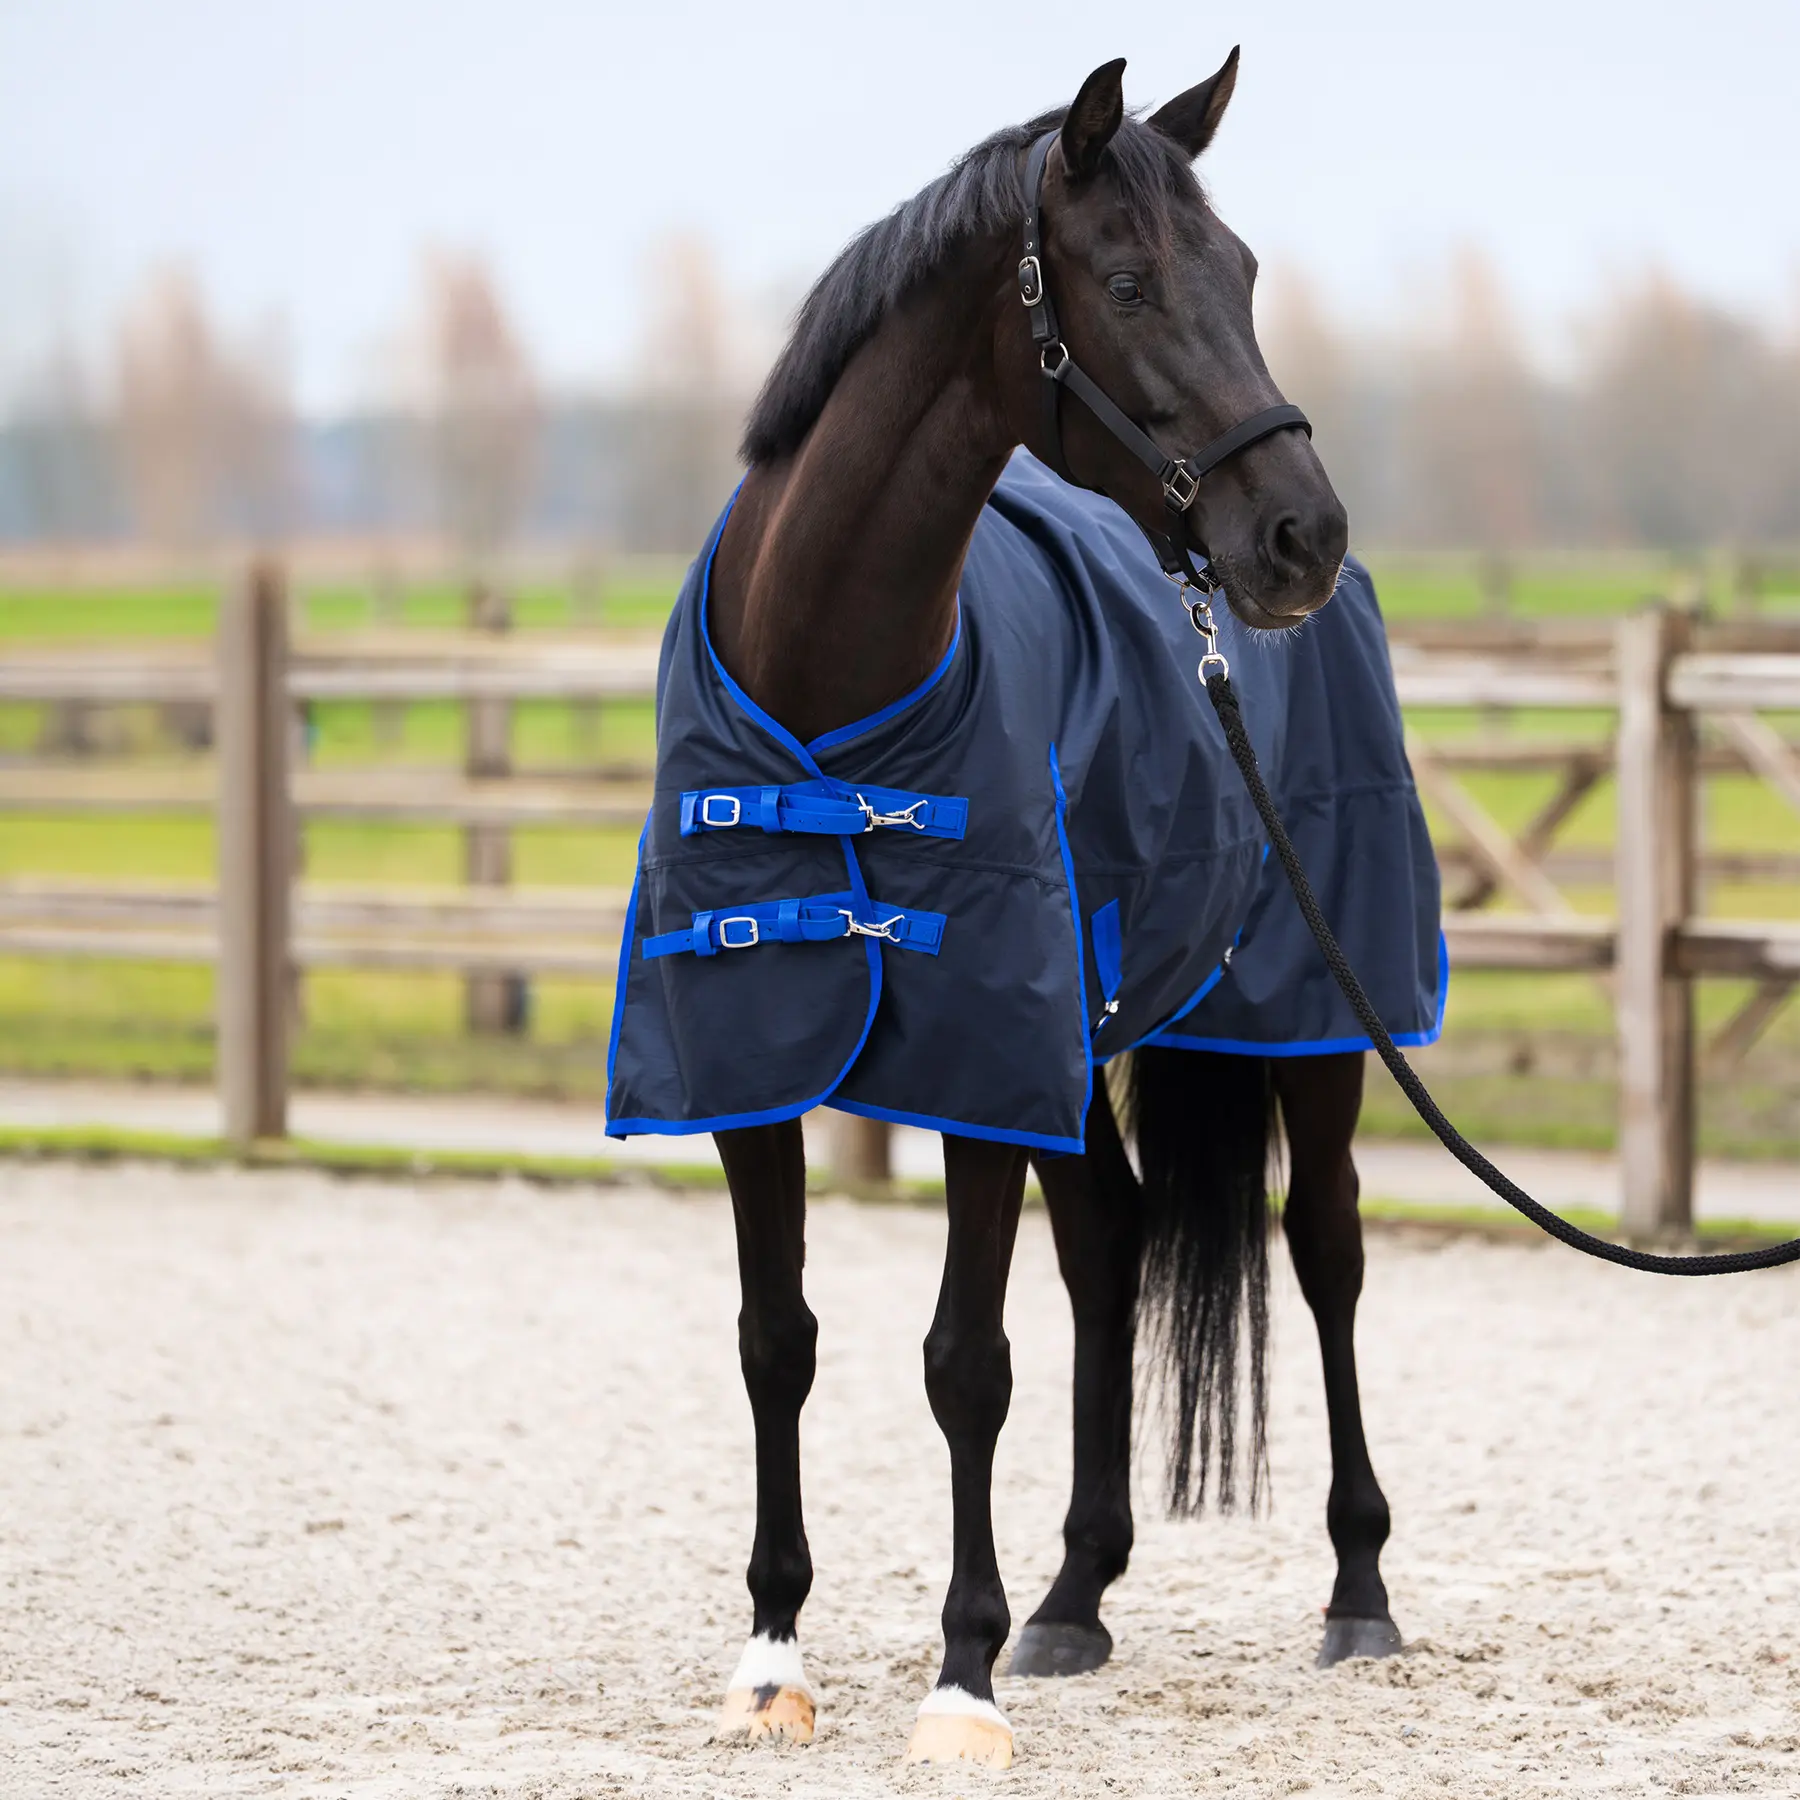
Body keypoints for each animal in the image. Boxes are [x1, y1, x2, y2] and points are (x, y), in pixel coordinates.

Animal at [604, 52, 1439, 1767]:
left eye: (1244, 272)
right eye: (1128, 283)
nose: (1299, 536)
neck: (825, 682)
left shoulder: (980, 1062)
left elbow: (962, 1363)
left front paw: (960, 1679)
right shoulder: (756, 1066)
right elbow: (776, 1341)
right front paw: (775, 1657)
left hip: (1322, 1017)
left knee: (1325, 1251)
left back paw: (1356, 1593)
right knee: (1110, 1245)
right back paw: (1076, 1598)